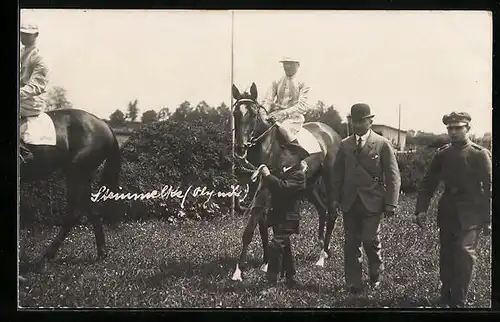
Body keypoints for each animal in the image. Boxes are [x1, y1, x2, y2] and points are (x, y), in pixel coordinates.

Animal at [19, 107, 122, 272]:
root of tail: (105, 125)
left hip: (75, 172)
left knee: (74, 214)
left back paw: (47, 257)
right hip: (82, 175)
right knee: (92, 211)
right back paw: (102, 252)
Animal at [231, 83, 342, 282]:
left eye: (253, 114)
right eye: (235, 113)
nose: (240, 148)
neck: (265, 144)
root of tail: (331, 132)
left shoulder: (265, 187)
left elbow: (251, 228)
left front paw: (238, 271)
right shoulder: (259, 188)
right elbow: (262, 225)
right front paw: (266, 262)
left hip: (330, 180)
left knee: (332, 211)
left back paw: (322, 257)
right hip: (308, 184)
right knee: (322, 209)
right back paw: (323, 248)